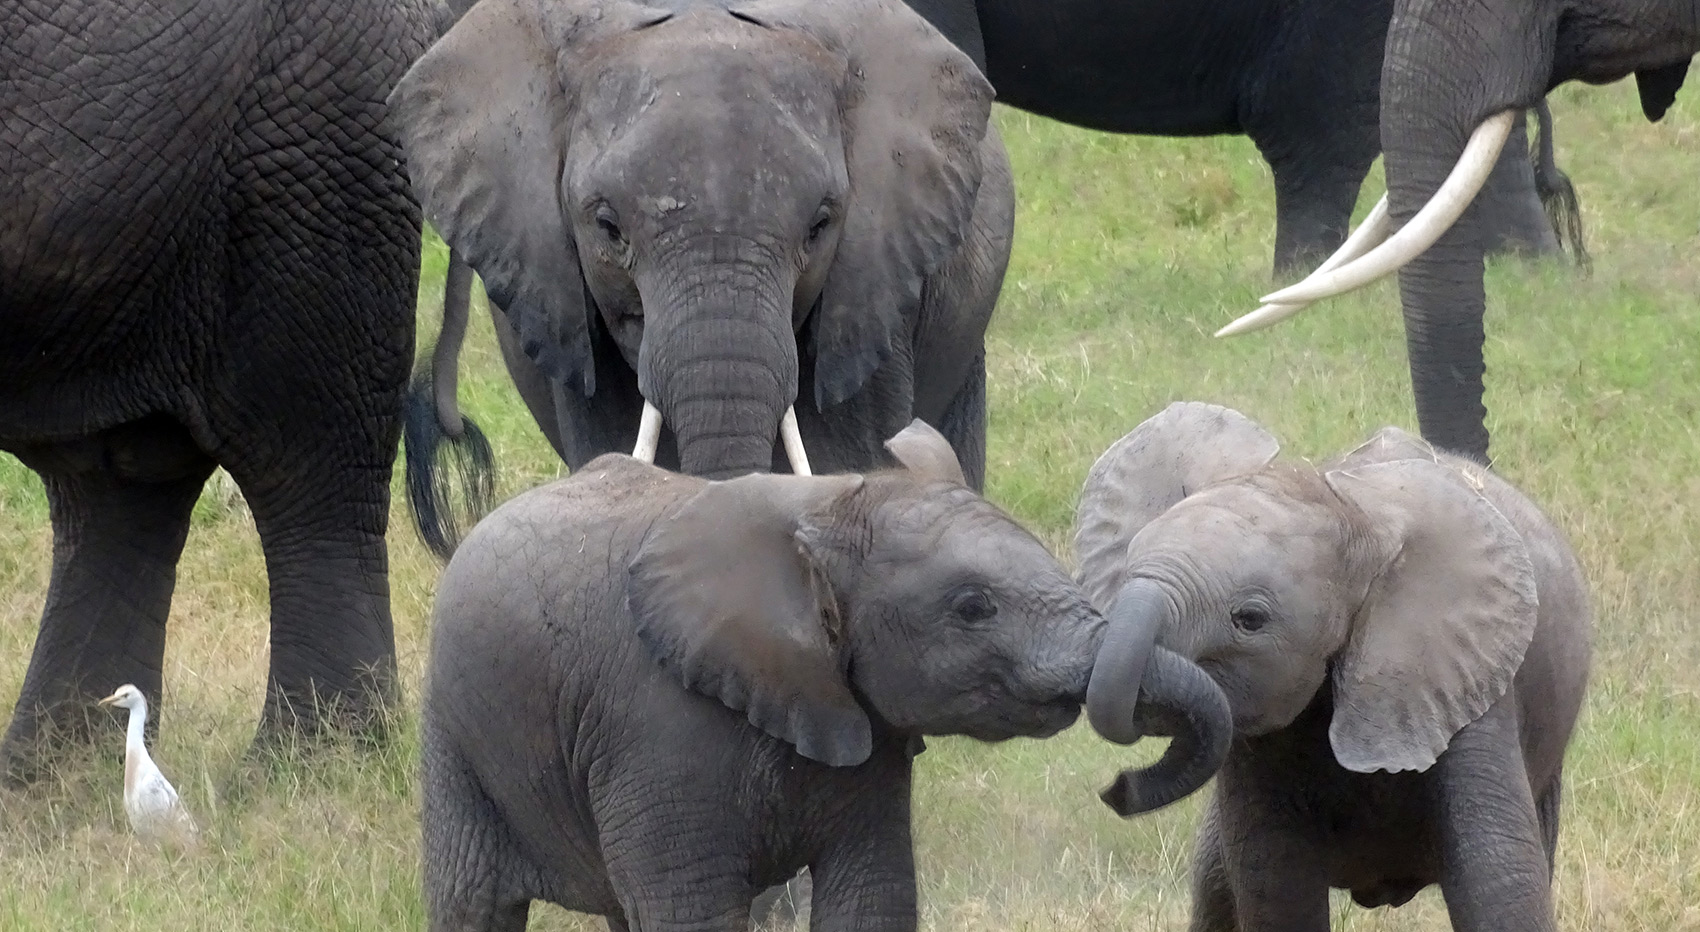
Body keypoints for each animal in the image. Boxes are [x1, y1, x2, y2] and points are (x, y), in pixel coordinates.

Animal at [418, 420, 1104, 931]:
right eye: (972, 607)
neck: (825, 504)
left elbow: (872, 895)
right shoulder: (657, 732)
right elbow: (690, 912)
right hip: (455, 736)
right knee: (472, 903)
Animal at [1073, 403, 1592, 931]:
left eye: (1250, 619)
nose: (1117, 788)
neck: (1349, 508)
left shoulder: (1463, 678)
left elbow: (1500, 880)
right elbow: (1274, 886)